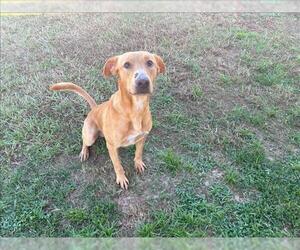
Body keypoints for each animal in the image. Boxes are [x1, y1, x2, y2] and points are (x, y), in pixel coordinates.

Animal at [50, 50, 165, 188]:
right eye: (126, 65)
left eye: (150, 62)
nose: (142, 81)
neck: (135, 110)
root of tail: (94, 108)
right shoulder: (111, 146)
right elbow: (118, 165)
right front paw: (121, 178)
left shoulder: (142, 137)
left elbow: (138, 153)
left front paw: (138, 163)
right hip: (90, 135)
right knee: (84, 141)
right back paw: (84, 152)